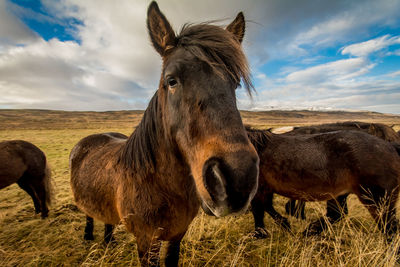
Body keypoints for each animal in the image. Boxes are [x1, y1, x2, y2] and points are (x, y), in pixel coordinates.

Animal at [70, 1, 260, 266]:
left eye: (235, 83)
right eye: (171, 80)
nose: (237, 179)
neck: (159, 184)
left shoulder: (177, 234)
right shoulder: (146, 241)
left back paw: (108, 241)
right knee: (88, 214)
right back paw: (88, 236)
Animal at [247, 127, 400, 241]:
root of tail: (391, 146)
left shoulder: (259, 190)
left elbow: (259, 210)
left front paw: (258, 234)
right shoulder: (265, 190)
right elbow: (267, 208)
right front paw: (285, 225)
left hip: (377, 202)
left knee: (390, 230)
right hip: (340, 194)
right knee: (336, 214)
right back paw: (309, 232)